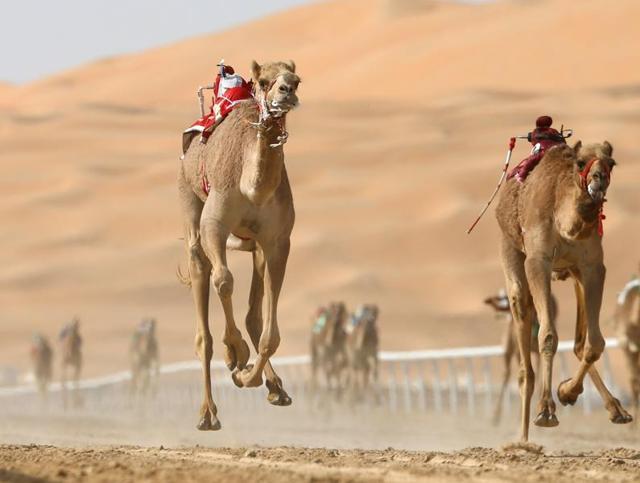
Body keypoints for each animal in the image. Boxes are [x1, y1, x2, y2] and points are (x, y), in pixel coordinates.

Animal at [178, 60, 300, 430]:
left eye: (297, 80)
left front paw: (249, 375)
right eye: (264, 82)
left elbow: (269, 335)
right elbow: (223, 281)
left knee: (253, 315)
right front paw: (236, 354)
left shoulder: (278, 240)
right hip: (189, 201)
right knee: (202, 276)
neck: (252, 187)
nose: (286, 91)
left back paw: (274, 387)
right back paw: (207, 414)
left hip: (255, 245)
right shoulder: (214, 225)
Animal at [484, 290, 558, 425]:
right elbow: (526, 377)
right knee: (507, 373)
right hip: (509, 348)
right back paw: (496, 417)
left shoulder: (539, 350)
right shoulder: (520, 349)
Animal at [495, 140, 631, 441]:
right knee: (524, 356)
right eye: (580, 163)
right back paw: (522, 439)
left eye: (611, 163)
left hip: (573, 274)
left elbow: (595, 343)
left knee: (581, 343)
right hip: (511, 249)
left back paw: (616, 409)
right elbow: (547, 336)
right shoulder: (538, 261)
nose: (598, 178)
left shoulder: (593, 267)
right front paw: (546, 411)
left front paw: (567, 391)